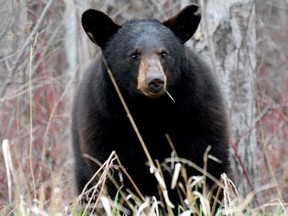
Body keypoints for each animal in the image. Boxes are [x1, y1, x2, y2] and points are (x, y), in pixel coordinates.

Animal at [72, 4, 232, 213]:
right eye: (134, 54)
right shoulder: (107, 127)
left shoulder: (197, 117)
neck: (151, 112)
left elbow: (206, 171)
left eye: (164, 53)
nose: (155, 81)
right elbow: (118, 183)